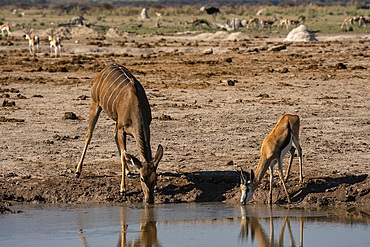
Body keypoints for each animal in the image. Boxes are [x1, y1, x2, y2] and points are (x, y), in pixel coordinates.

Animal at [76, 63, 164, 205]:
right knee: (89, 135)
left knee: (113, 134)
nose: (149, 200)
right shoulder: (122, 129)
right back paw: (77, 171)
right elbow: (123, 156)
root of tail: (105, 68)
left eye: (155, 178)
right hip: (95, 104)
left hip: (115, 119)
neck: (135, 104)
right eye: (141, 178)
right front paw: (122, 190)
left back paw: (128, 172)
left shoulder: (147, 127)